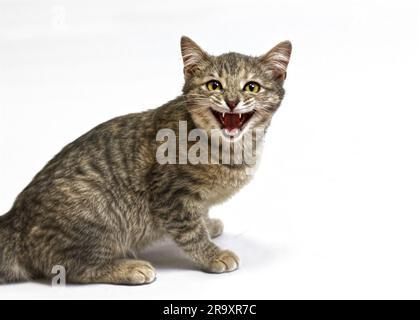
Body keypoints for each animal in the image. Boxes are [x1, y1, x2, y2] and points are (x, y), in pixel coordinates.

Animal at [0, 37, 292, 284]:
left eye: (251, 86)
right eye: (214, 85)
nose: (232, 101)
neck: (229, 148)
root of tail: (14, 220)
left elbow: (200, 214)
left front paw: (208, 224)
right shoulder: (170, 195)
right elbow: (190, 231)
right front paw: (211, 253)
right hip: (95, 206)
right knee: (72, 268)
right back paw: (127, 268)